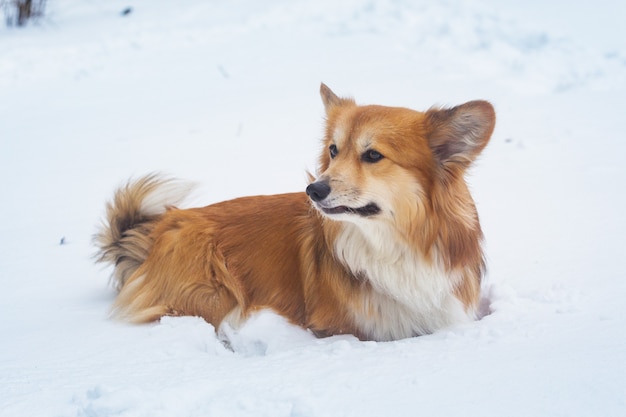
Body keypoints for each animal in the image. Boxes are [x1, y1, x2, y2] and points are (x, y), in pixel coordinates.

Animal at [94, 84, 492, 342]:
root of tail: (162, 227)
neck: (392, 245)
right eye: (333, 150)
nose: (313, 191)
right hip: (209, 296)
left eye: (373, 155)